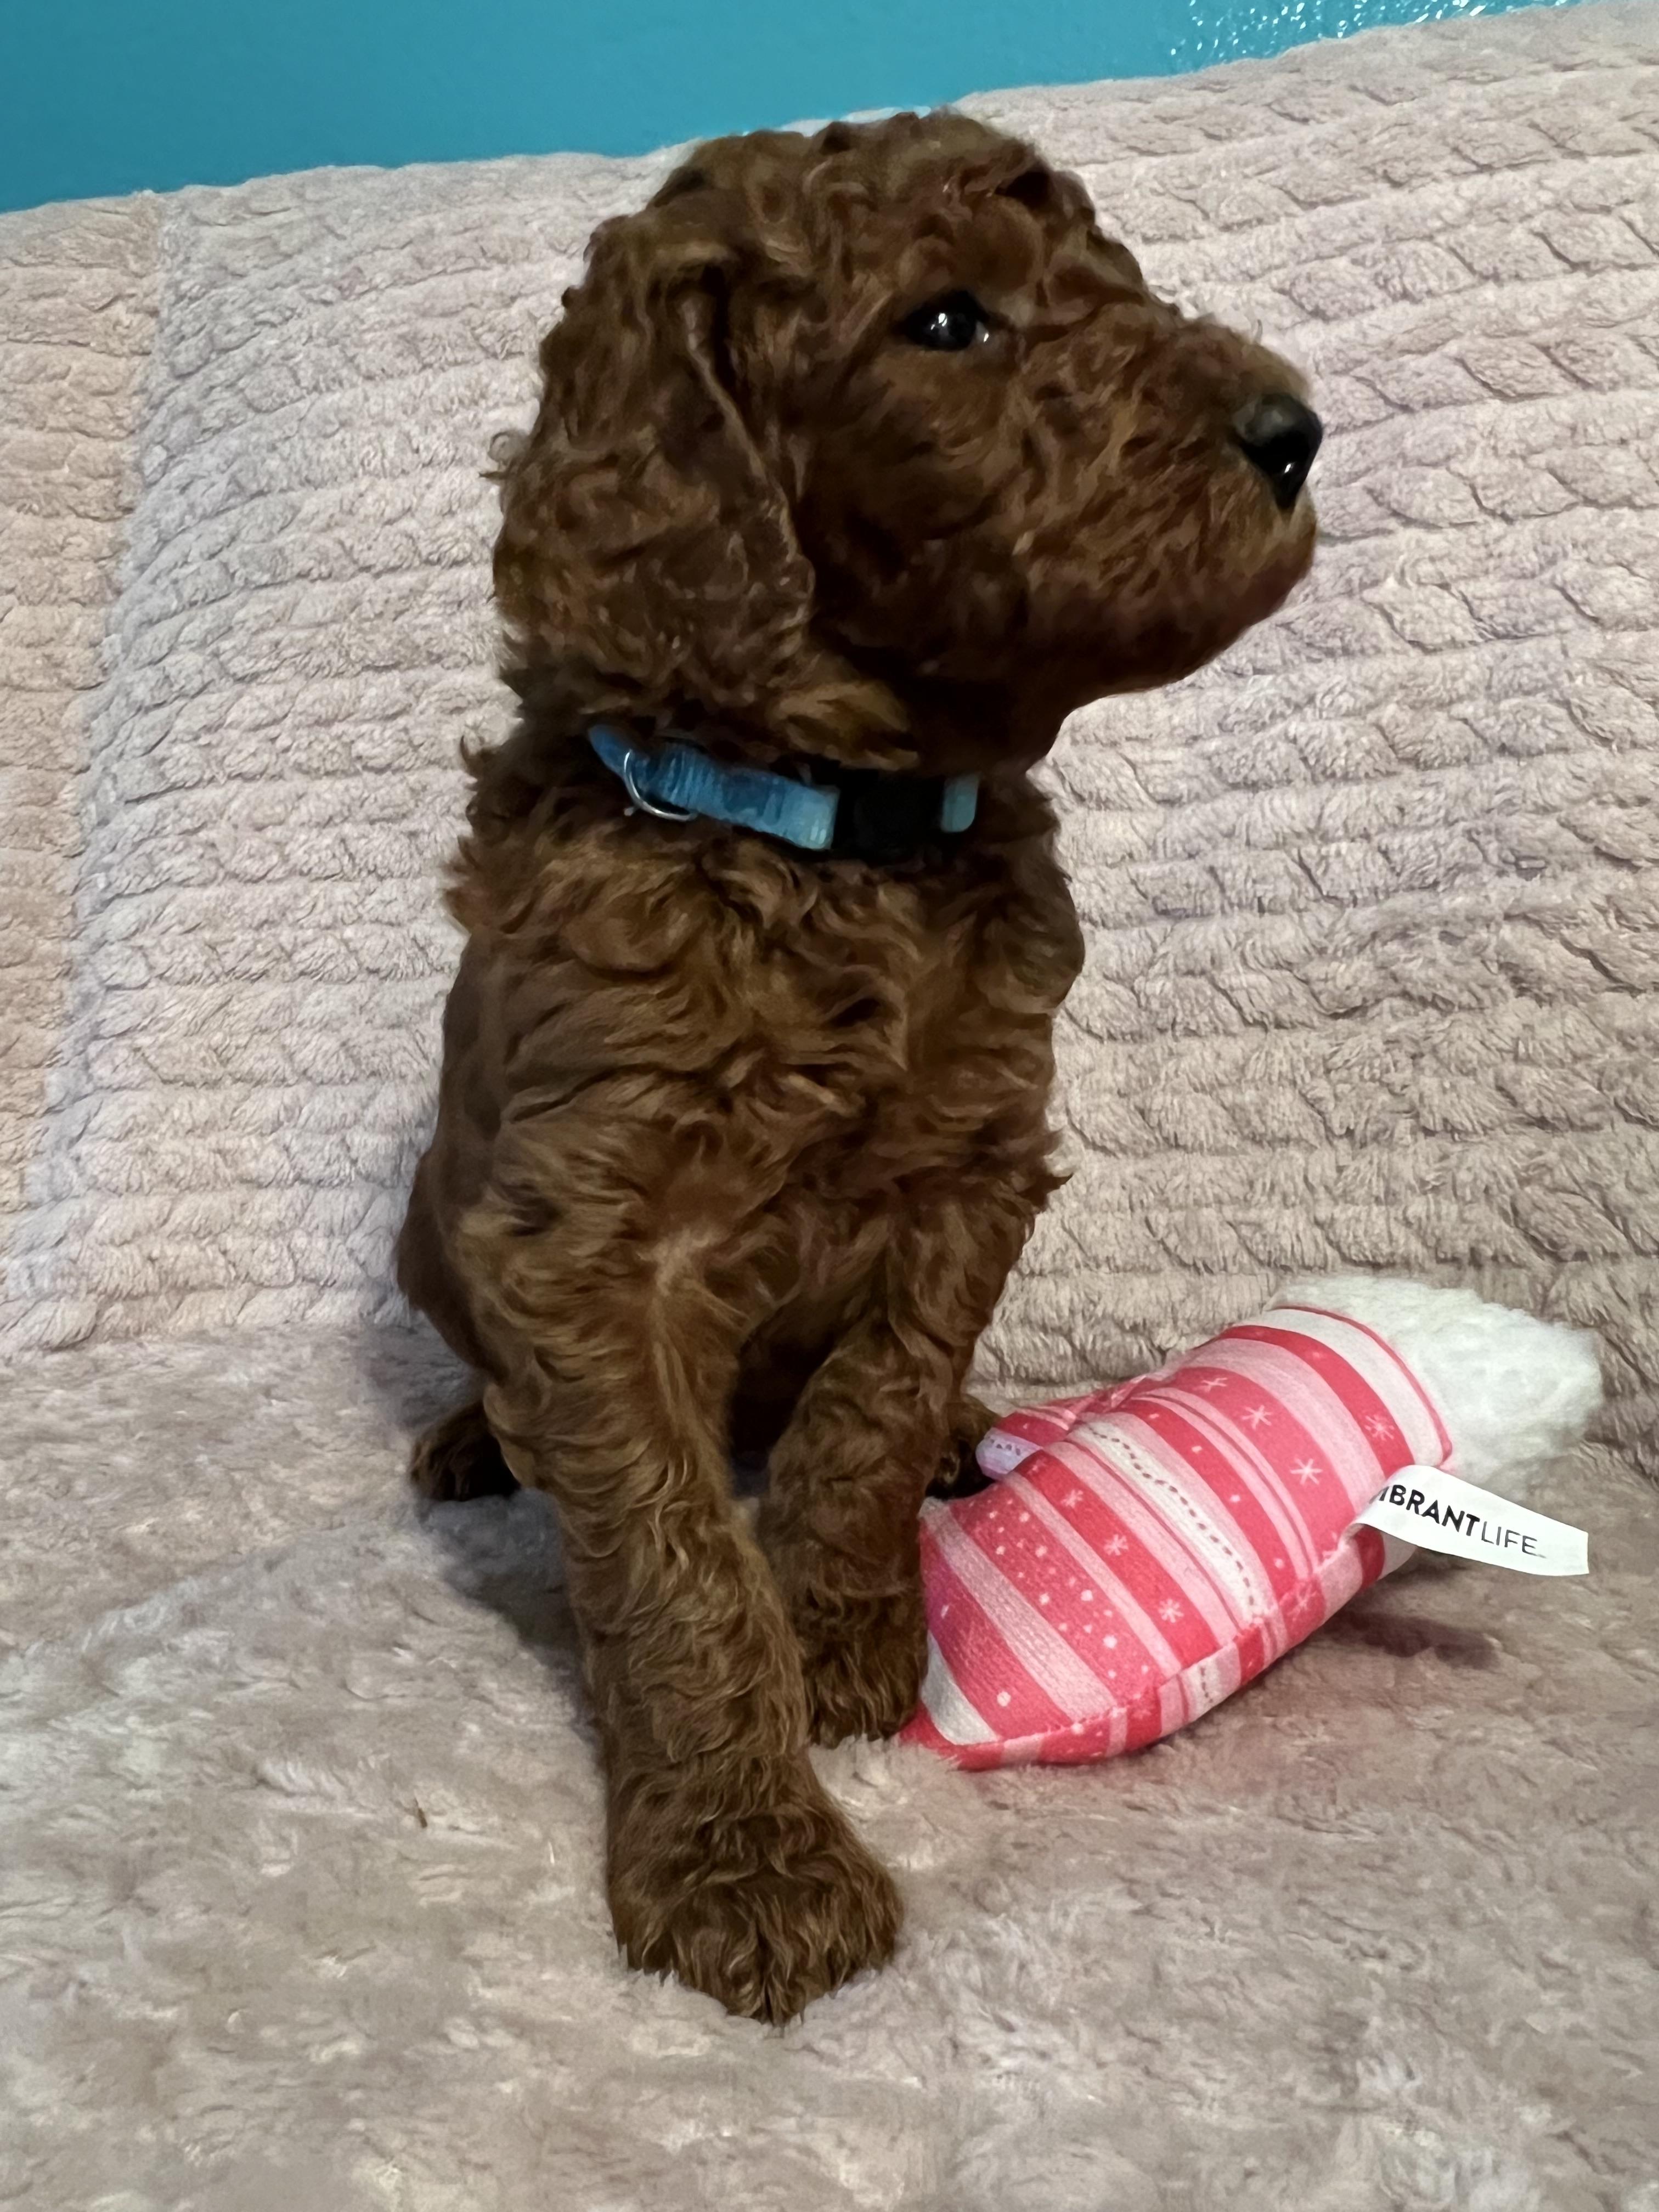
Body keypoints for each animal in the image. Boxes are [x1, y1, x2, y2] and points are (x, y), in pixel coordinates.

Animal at [396, 111, 1320, 2022]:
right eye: (947, 323)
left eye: (1117, 283)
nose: (1296, 430)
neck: (836, 843)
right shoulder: (587, 1244)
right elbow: (676, 1563)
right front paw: (747, 1863)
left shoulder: (978, 1160)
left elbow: (869, 1414)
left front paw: (845, 1635)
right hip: (428, 1237)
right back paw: (469, 1437)